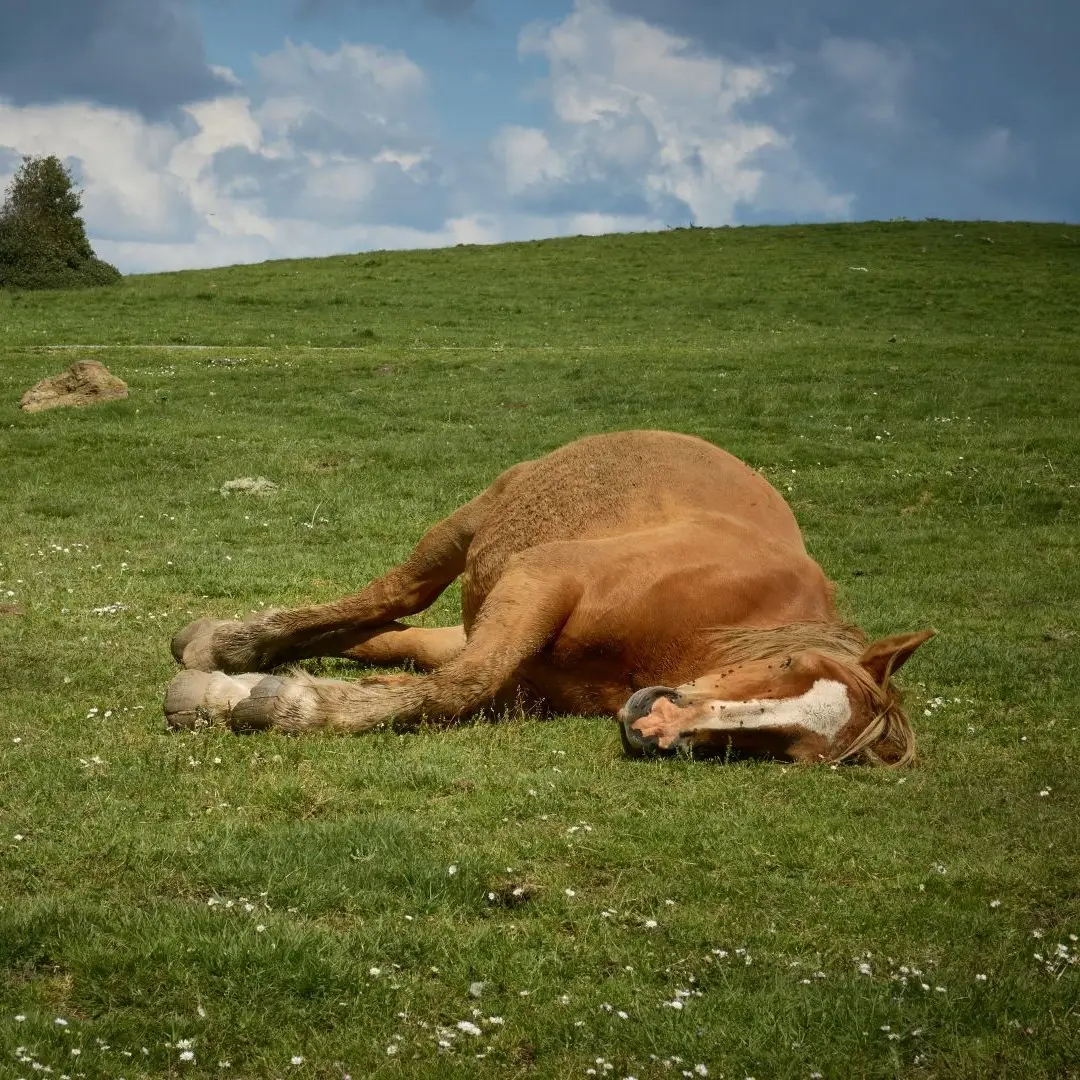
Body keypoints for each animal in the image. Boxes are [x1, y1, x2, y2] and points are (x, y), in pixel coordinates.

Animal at [165, 430, 934, 765]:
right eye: (790, 667)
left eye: (795, 751)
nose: (658, 723)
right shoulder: (542, 578)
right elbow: (459, 684)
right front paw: (280, 703)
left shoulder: (519, 659)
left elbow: (434, 679)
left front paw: (252, 693)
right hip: (468, 531)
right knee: (393, 595)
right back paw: (229, 645)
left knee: (386, 628)